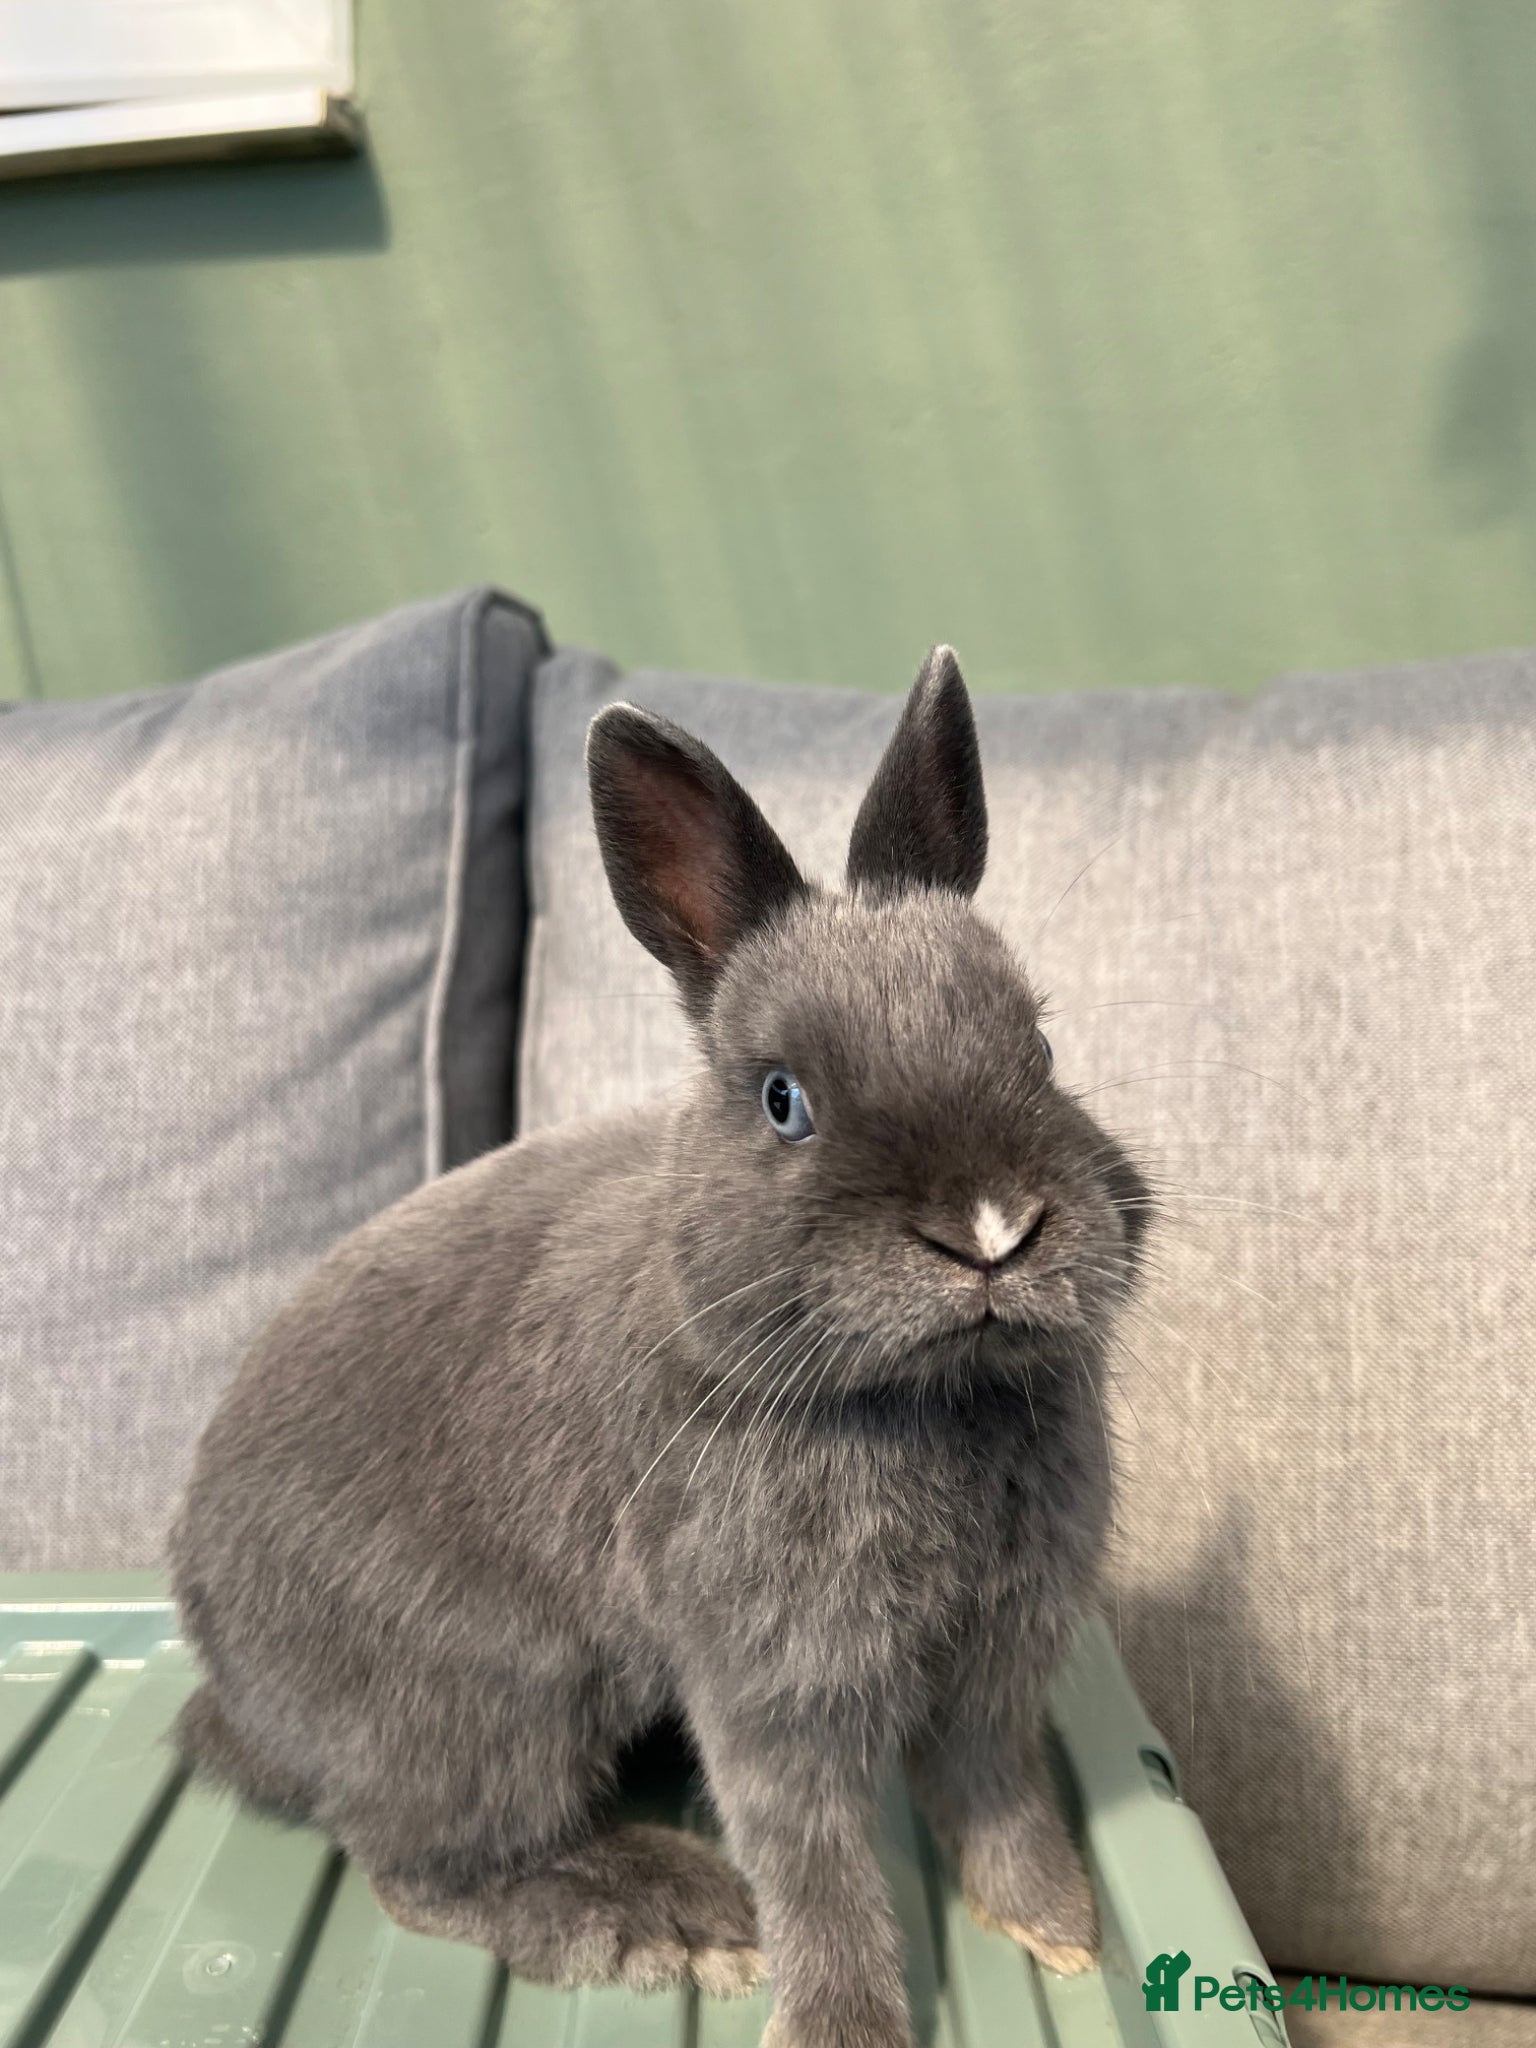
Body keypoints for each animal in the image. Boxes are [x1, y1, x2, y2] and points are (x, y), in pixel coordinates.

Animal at [170, 646, 1151, 2048]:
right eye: (784, 1100)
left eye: (1042, 1044)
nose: (991, 1228)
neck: (926, 1395)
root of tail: (231, 1690)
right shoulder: (773, 1677)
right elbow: (815, 1862)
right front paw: (843, 2024)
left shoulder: (997, 1660)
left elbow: (995, 1789)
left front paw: (1056, 1926)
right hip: (491, 1711)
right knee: (421, 1868)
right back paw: (659, 1909)